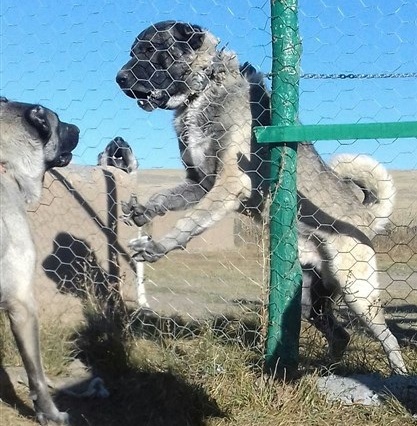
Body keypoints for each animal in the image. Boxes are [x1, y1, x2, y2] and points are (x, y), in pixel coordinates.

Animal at [116, 20, 406, 372]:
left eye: (150, 49)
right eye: (133, 51)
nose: (119, 79)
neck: (205, 89)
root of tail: (364, 215)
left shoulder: (229, 183)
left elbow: (190, 221)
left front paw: (158, 246)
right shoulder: (200, 184)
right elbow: (165, 198)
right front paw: (143, 210)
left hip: (358, 293)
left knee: (387, 336)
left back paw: (398, 372)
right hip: (309, 299)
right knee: (340, 335)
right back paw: (326, 368)